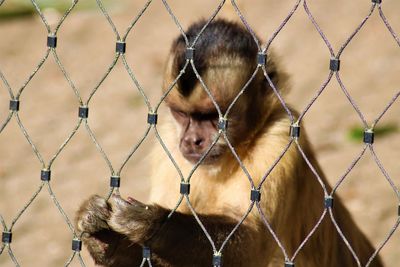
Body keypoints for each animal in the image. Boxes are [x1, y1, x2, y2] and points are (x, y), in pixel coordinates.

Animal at [74, 18, 382, 267]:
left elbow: (254, 245)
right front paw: (102, 238)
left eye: (213, 117)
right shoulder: (169, 144)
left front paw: (152, 222)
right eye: (182, 115)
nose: (192, 140)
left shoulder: (281, 137)